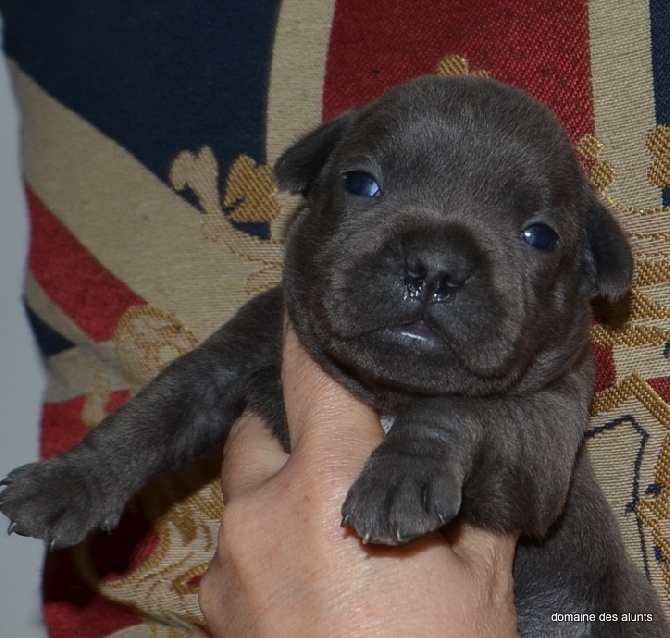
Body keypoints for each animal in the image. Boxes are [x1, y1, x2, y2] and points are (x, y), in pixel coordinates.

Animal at [0, 77, 668, 636]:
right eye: (360, 183)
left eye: (541, 237)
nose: (435, 267)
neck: (387, 391)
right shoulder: (230, 359)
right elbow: (152, 414)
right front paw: (67, 480)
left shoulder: (544, 439)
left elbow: (464, 411)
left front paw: (402, 473)